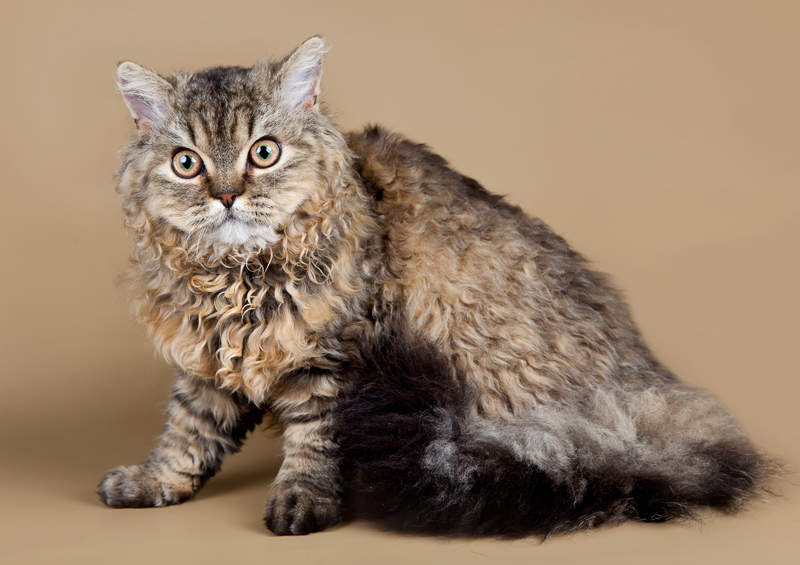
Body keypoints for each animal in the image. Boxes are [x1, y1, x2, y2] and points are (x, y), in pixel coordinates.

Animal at [100, 36, 768, 536]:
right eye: (187, 163)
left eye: (264, 153)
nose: (227, 196)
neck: (237, 279)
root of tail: (652, 401)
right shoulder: (209, 357)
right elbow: (188, 433)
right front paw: (153, 482)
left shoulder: (335, 358)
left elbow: (313, 442)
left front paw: (300, 501)